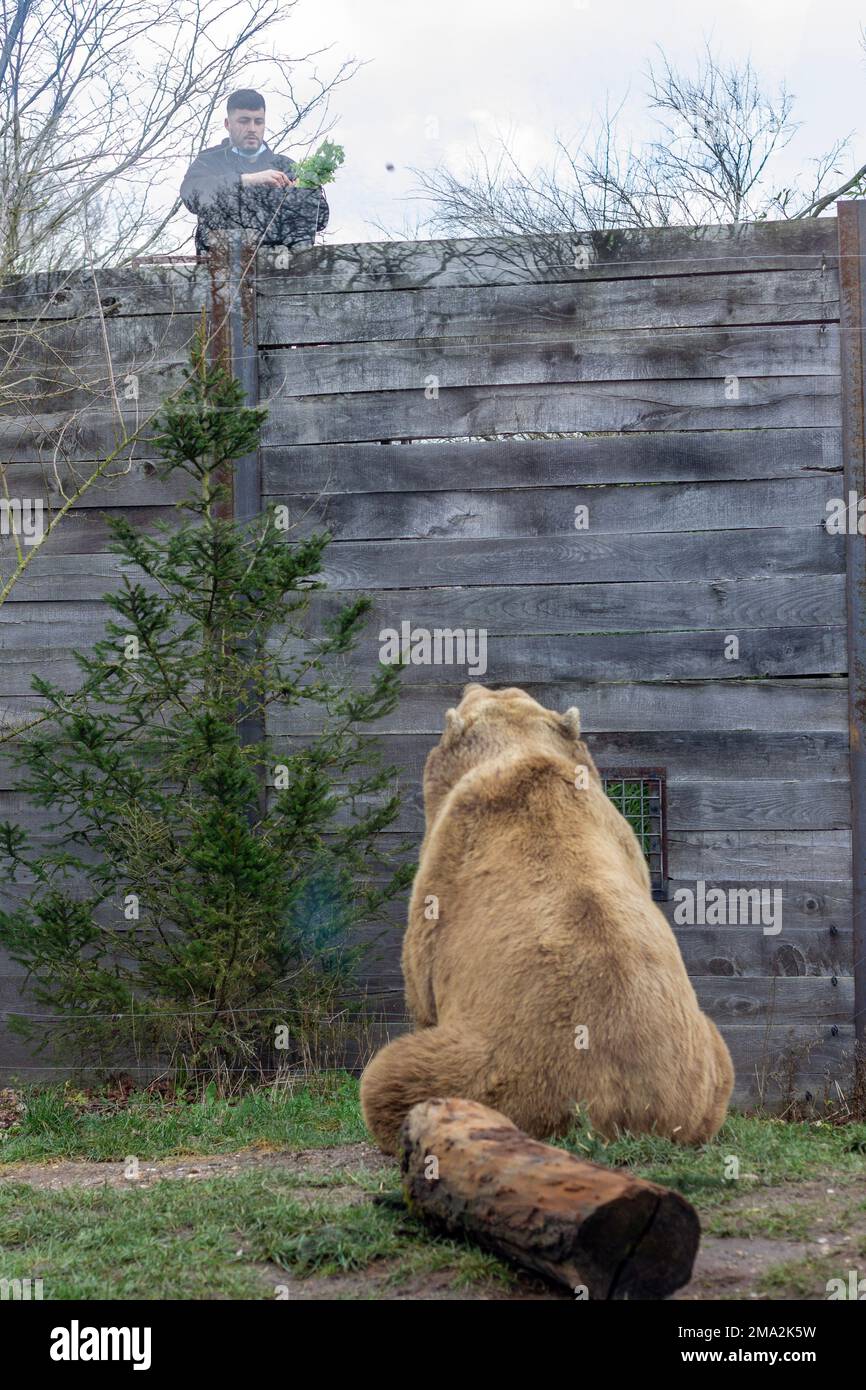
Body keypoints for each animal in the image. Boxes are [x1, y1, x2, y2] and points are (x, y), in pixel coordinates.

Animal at [361, 681, 733, 1150]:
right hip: (706, 1062)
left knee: (390, 1077)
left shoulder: (447, 868)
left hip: (498, 1072)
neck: (519, 753)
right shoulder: (622, 837)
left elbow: (420, 984)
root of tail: (628, 1111)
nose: (471, 682)